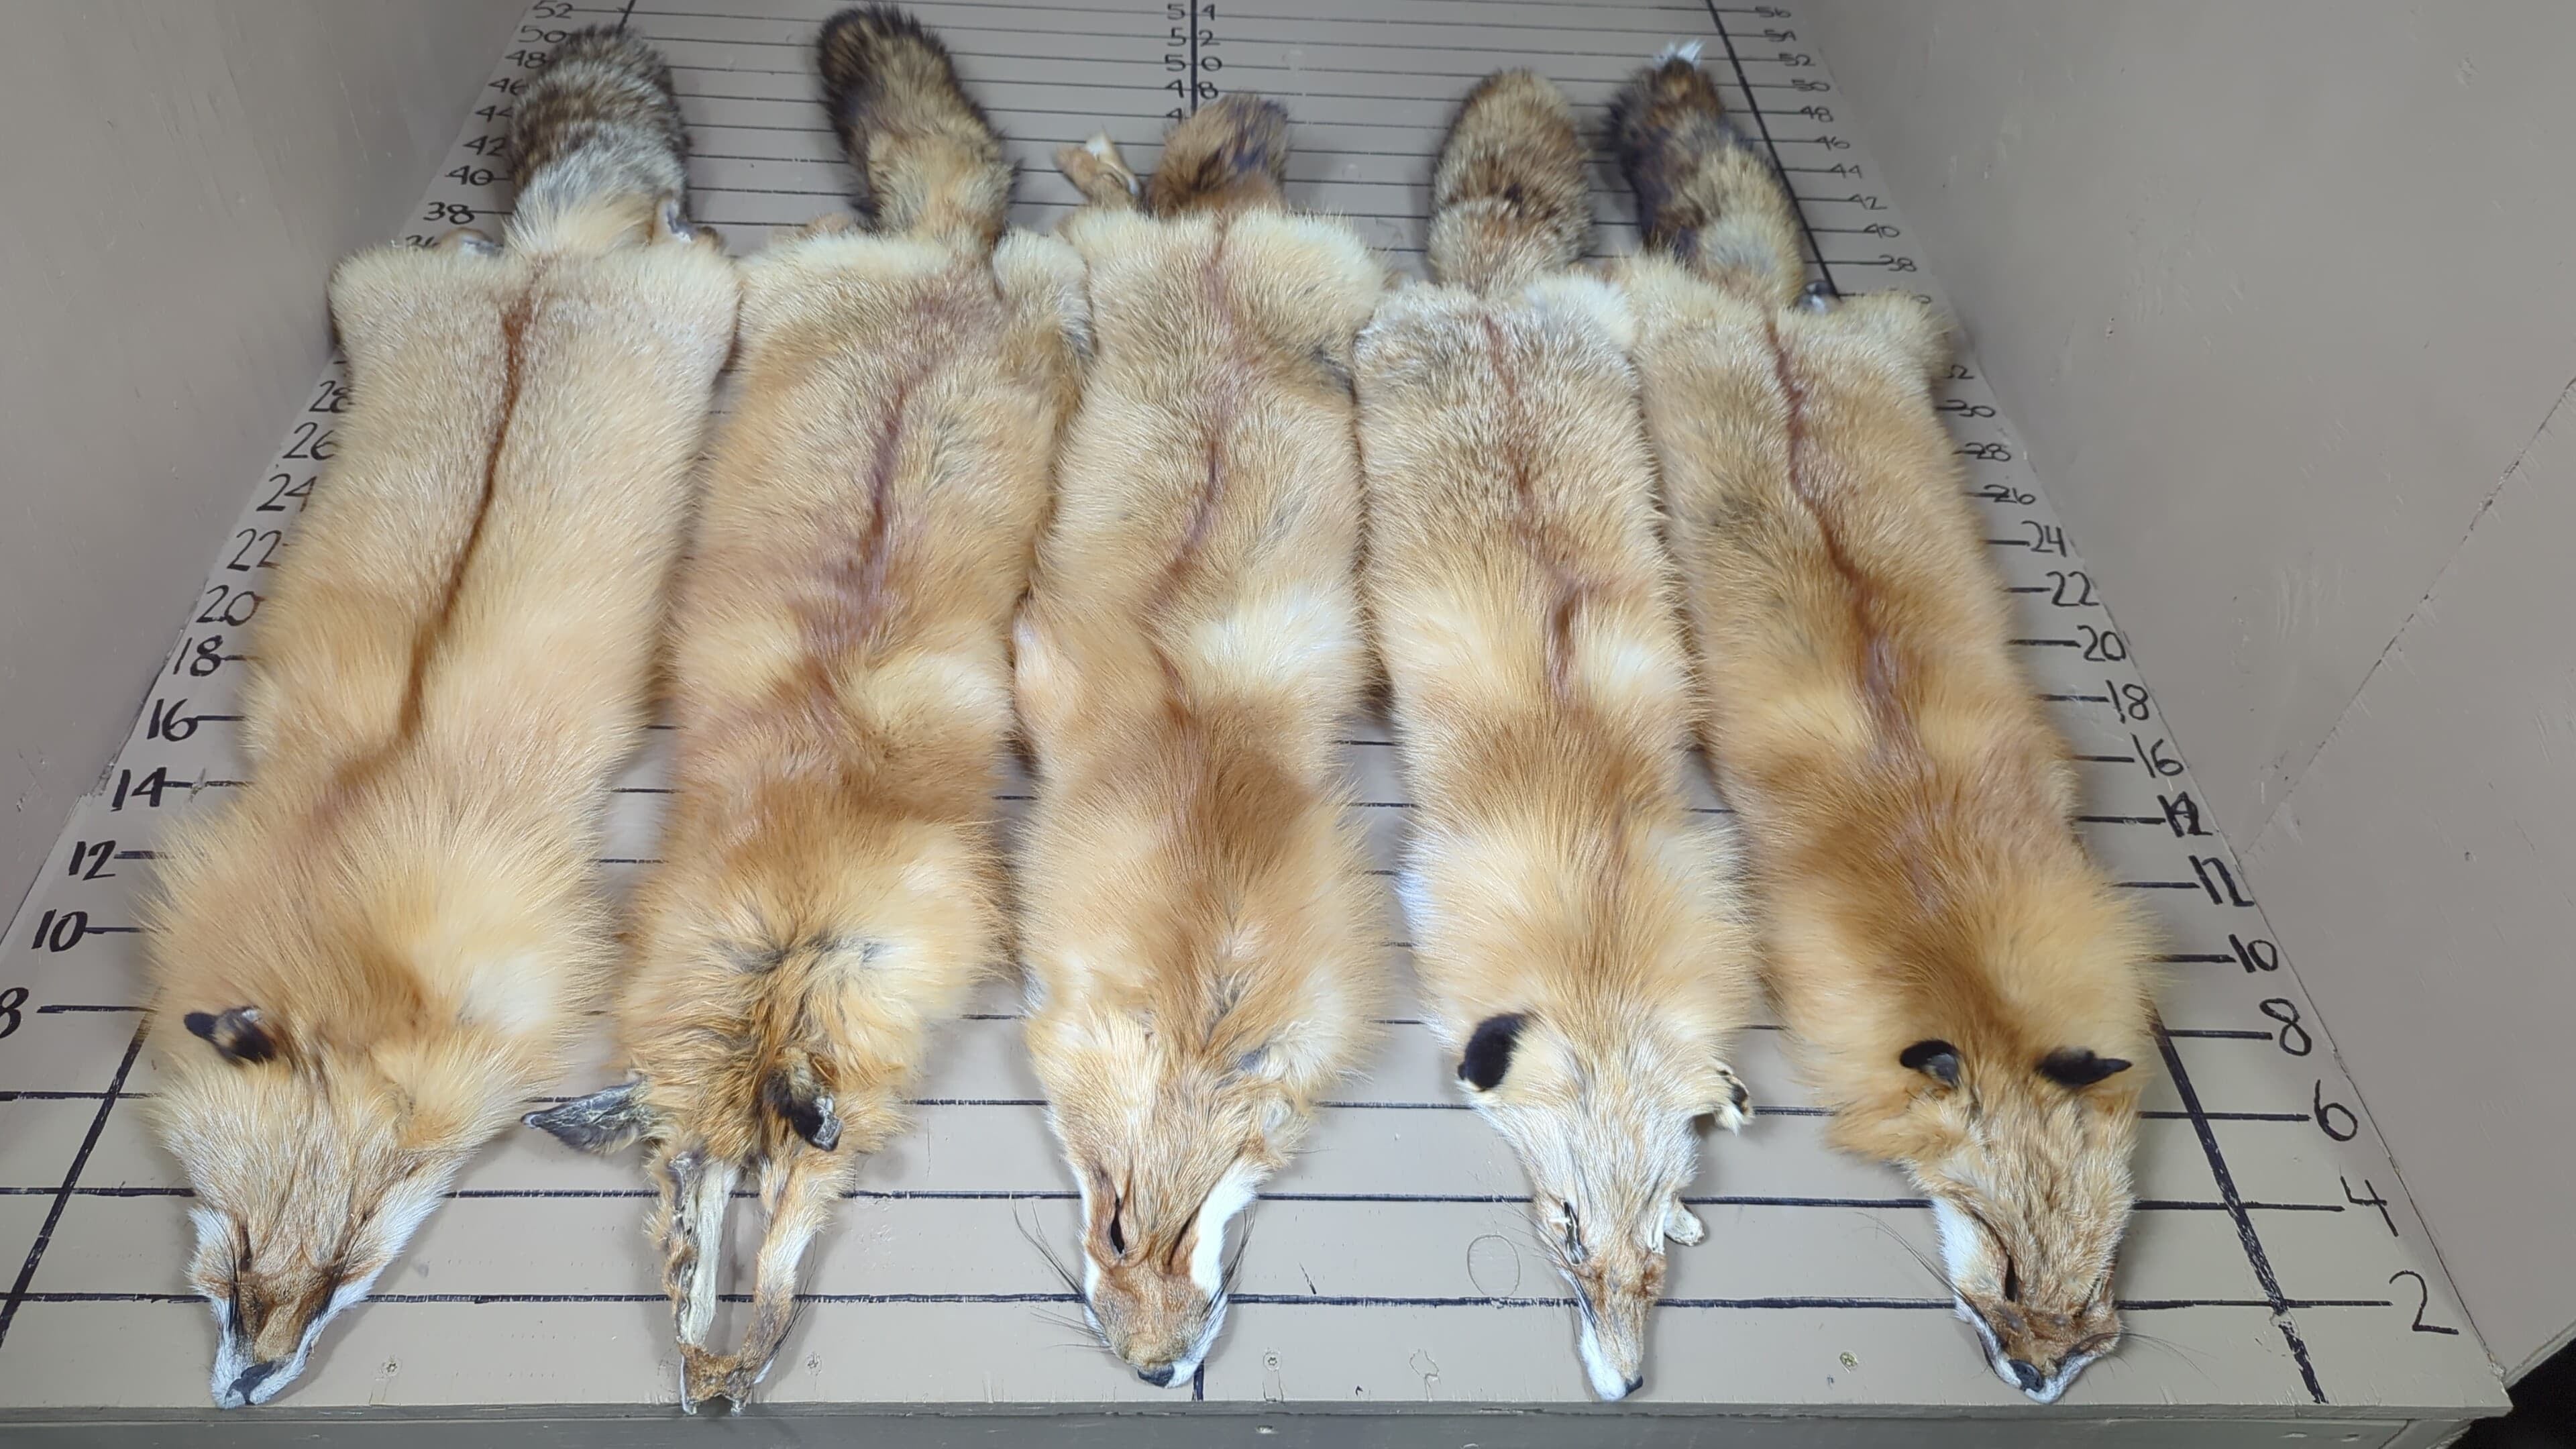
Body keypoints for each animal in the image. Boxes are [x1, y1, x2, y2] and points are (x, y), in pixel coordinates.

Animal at [141, 27, 735, 1410]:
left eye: (352, 1257)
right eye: (235, 1247)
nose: (245, 1386)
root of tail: (549, 266)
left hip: (707, 298)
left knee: (683, 239)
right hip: (373, 288)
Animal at [522, 8, 1084, 1411]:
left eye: (776, 1186)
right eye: (681, 1219)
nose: (710, 1395)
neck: (795, 921)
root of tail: (940, 260)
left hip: (1044, 300)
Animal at [1011, 97, 1384, 1389]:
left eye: (1195, 1227)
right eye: (1117, 1223)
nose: (1158, 1374)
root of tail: (1217, 250)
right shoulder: (1045, 677)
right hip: (1114, 265)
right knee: (1124, 208)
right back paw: (1099, 162)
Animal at [1607, 51, 2159, 1403]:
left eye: (2093, 1280)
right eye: (2003, 1264)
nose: (2039, 1382)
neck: (1942, 894)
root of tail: (1763, 319)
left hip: (1900, 332)